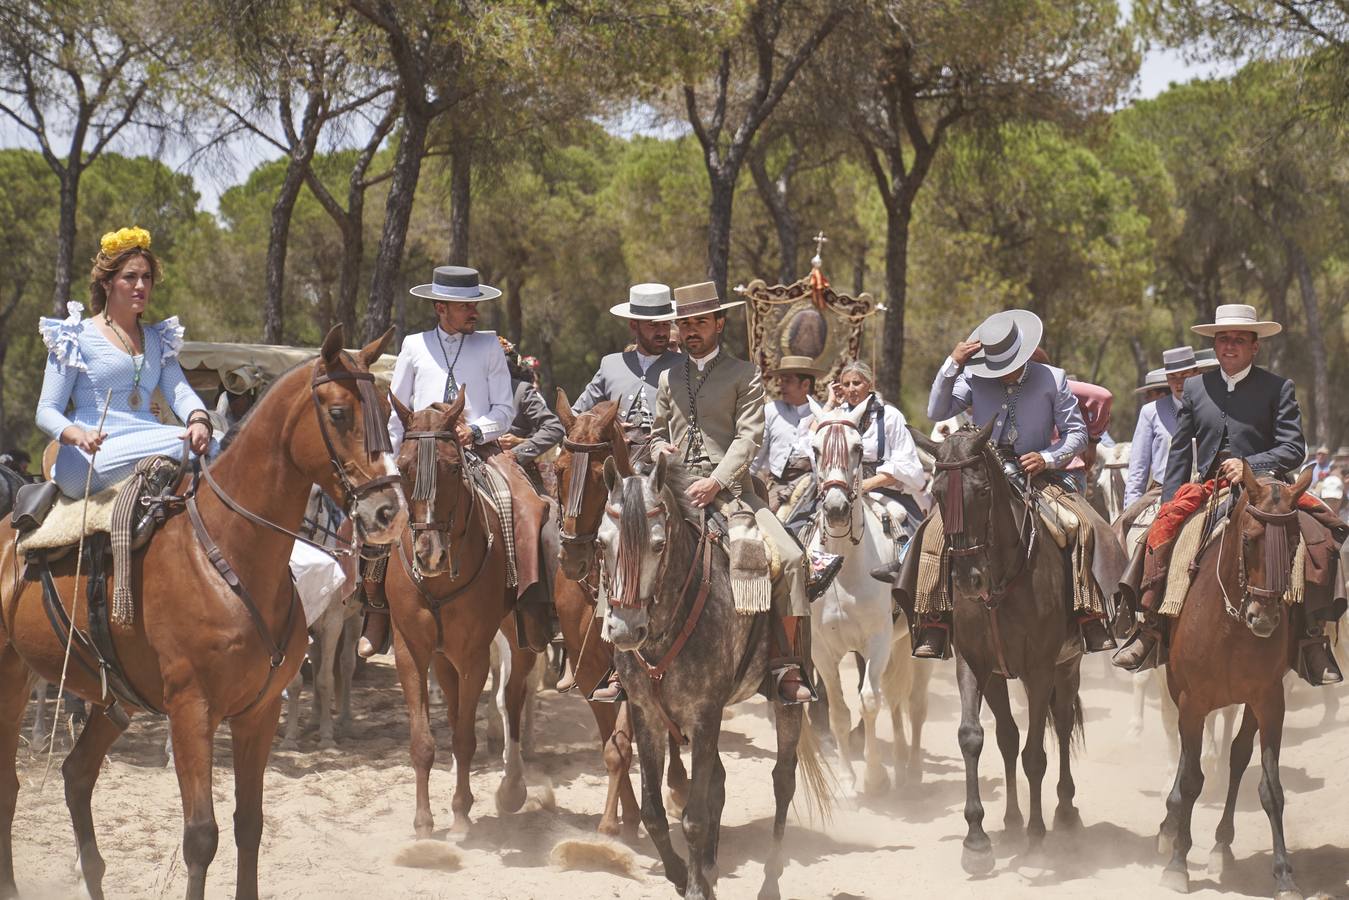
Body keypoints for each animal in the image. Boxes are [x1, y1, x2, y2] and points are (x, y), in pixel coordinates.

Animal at [0, 329, 404, 900]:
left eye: (388, 410)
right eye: (341, 412)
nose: (388, 511)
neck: (227, 553)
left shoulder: (258, 713)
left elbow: (250, 824)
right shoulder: (192, 711)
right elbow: (200, 837)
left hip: (112, 700)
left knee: (76, 775)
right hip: (12, 682)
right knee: (11, 785)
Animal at [383, 396, 534, 836]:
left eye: (452, 466)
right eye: (403, 466)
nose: (429, 554)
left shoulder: (473, 655)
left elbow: (466, 737)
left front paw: (462, 815)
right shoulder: (412, 652)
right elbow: (423, 741)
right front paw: (423, 822)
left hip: (518, 640)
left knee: (511, 700)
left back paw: (512, 787)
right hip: (442, 656)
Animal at [809, 407, 928, 793]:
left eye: (858, 448)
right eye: (815, 448)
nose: (835, 508)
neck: (843, 570)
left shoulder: (878, 641)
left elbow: (869, 702)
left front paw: (875, 777)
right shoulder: (821, 650)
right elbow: (839, 713)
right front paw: (848, 779)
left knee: (913, 703)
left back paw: (913, 769)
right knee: (895, 699)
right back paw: (902, 763)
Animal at [906, 423, 1084, 879]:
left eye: (983, 490)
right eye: (936, 493)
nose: (967, 579)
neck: (1002, 581)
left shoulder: (1039, 670)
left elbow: (1035, 754)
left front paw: (1037, 840)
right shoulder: (975, 665)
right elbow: (973, 737)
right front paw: (977, 841)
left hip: (1067, 667)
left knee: (1060, 726)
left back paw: (1063, 813)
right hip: (1001, 679)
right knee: (1007, 737)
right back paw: (1011, 822)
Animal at [1160, 464, 1316, 900]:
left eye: (1294, 541)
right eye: (1249, 539)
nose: (1263, 619)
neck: (1228, 625)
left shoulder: (1271, 701)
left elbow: (1271, 788)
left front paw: (1284, 874)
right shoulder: (1193, 701)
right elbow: (1191, 778)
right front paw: (1177, 864)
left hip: (1248, 704)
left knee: (1238, 756)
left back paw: (1221, 845)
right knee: (1188, 761)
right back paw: (1171, 825)